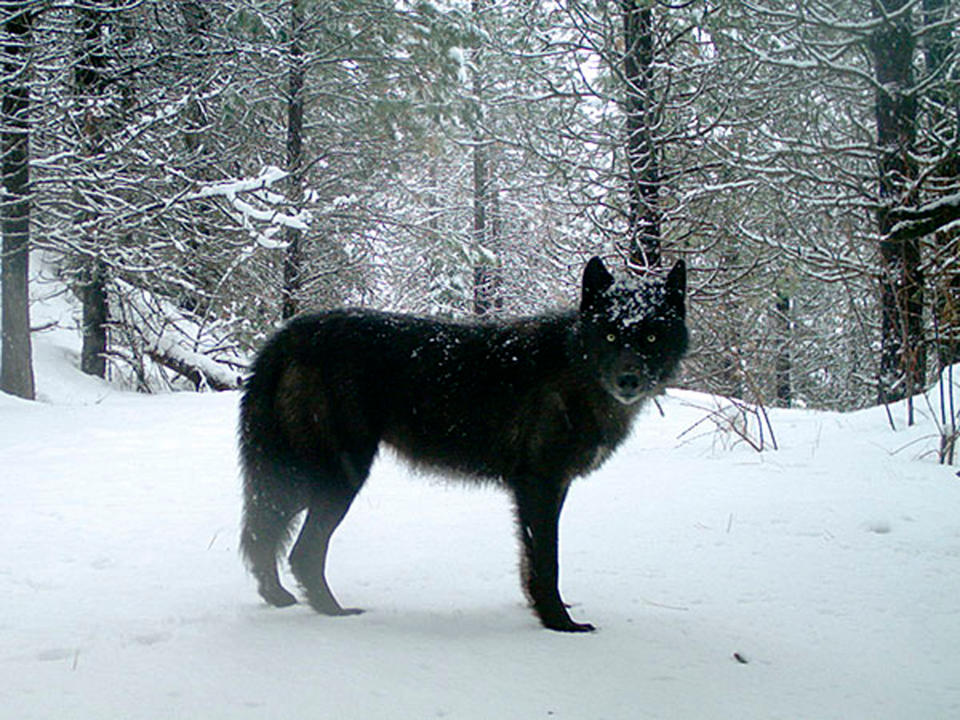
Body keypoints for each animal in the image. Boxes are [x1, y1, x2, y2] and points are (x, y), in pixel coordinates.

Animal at [240, 258, 688, 632]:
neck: (575, 367)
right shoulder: (539, 486)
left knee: (264, 533)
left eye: (651, 335)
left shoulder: (546, 488)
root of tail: (289, 334)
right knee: (300, 550)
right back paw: (333, 612)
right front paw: (559, 624)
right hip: (337, 478)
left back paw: (279, 598)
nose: (628, 379)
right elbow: (548, 561)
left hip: (302, 478)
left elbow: (530, 562)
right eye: (610, 333)